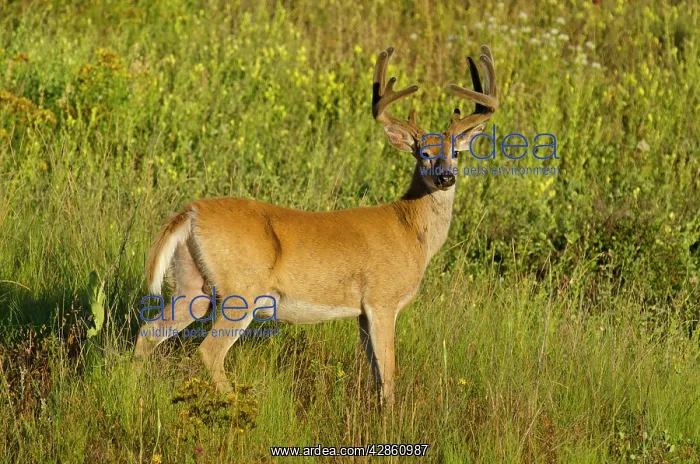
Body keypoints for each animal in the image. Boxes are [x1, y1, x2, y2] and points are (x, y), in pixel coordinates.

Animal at [134, 45, 498, 407]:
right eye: (423, 153)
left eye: (455, 153)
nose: (445, 177)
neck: (411, 230)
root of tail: (190, 212)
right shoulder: (382, 300)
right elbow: (389, 375)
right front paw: (389, 417)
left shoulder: (362, 312)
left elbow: (376, 372)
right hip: (241, 290)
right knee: (209, 351)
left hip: (192, 285)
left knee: (149, 332)